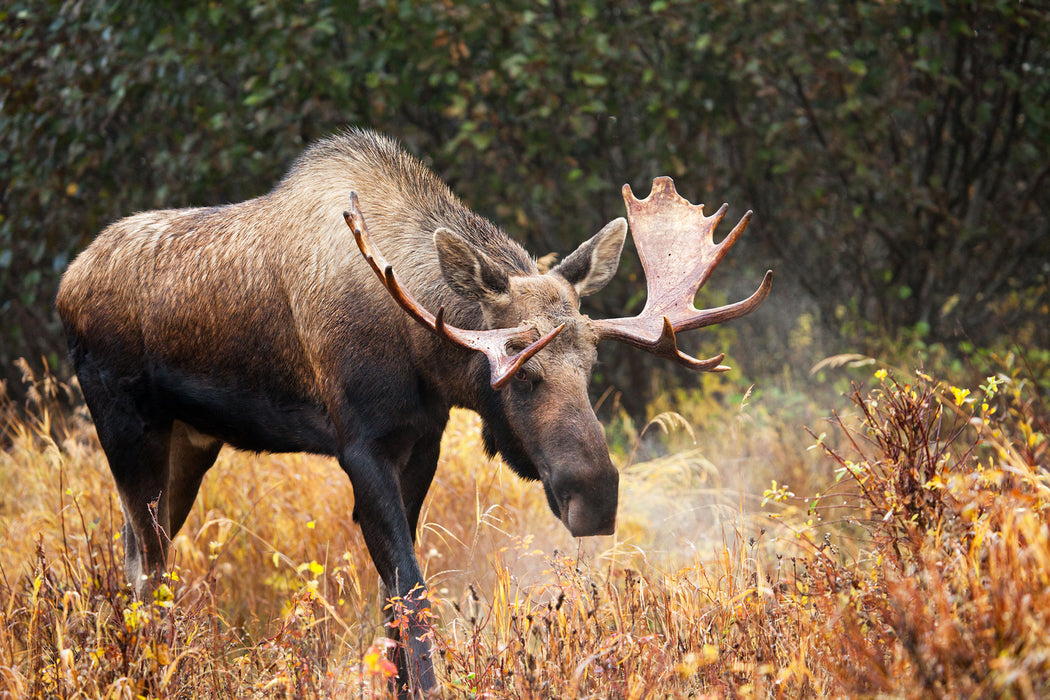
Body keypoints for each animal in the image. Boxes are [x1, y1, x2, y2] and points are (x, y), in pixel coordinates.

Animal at [57, 130, 772, 696]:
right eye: (520, 371)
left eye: (592, 364)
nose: (595, 495)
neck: (420, 349)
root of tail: (68, 283)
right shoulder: (359, 446)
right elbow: (411, 587)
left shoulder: (421, 440)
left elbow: (389, 599)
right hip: (126, 425)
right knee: (146, 564)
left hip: (192, 441)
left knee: (141, 552)